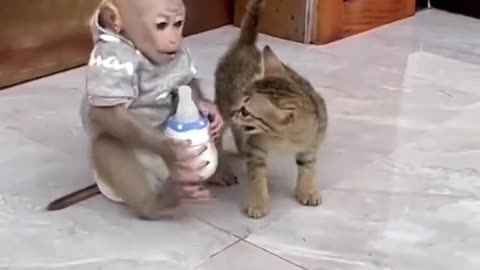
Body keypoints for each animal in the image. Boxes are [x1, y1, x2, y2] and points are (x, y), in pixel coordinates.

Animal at [47, 0, 229, 219]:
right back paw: (158, 203)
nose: (174, 39)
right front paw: (172, 150)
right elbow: (107, 112)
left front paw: (207, 107)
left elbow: (188, 83)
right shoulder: (112, 57)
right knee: (107, 144)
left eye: (178, 24)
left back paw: (217, 171)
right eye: (161, 25)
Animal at [216, 0, 328, 218]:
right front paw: (258, 203)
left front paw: (307, 191)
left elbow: (308, 167)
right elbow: (257, 177)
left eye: (246, 111)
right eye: (242, 103)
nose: (235, 111)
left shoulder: (311, 144)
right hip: (222, 106)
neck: (284, 139)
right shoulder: (257, 151)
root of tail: (246, 43)